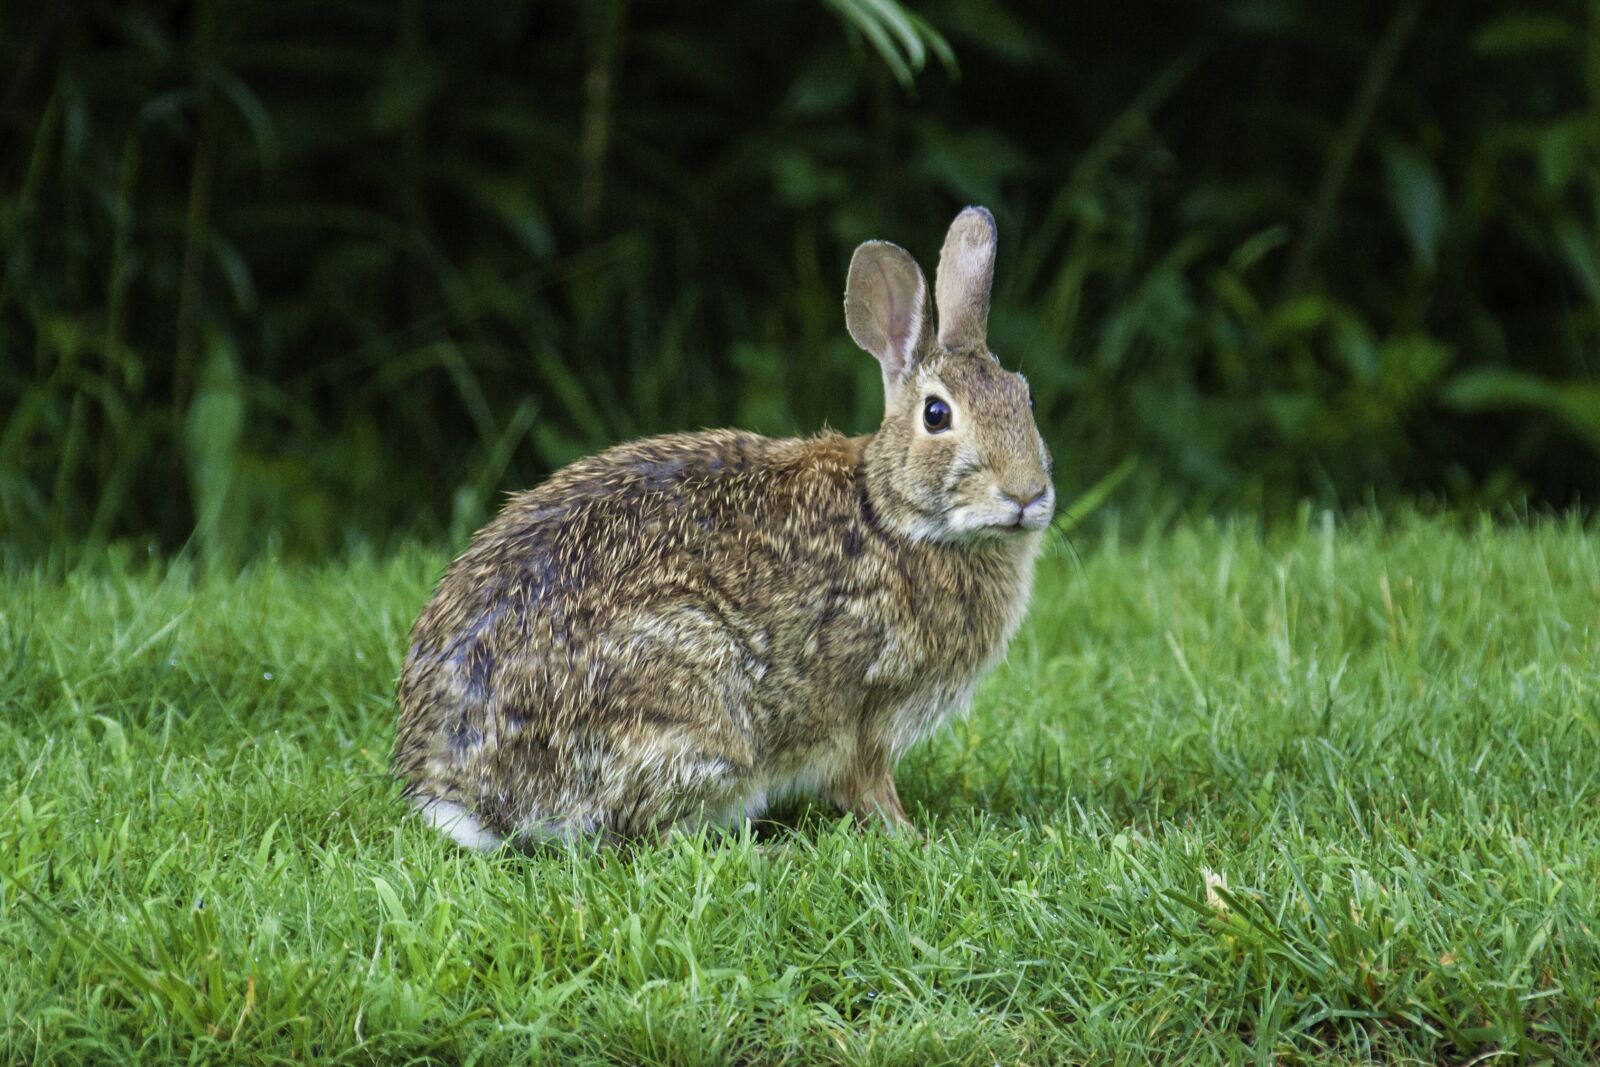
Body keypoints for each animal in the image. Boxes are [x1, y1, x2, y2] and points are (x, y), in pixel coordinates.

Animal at [393, 204, 1056, 844]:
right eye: (937, 415)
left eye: (1025, 399)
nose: (1027, 494)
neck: (890, 511)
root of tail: (457, 793)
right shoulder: (861, 712)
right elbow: (866, 783)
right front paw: (908, 836)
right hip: (689, 704)